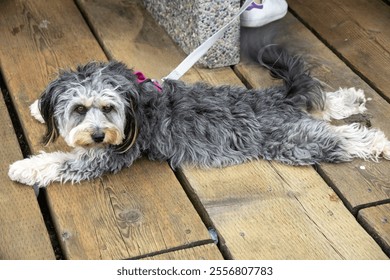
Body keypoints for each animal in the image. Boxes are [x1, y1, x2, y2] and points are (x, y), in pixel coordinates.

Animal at [7, 46, 388, 187]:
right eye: (79, 109)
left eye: (109, 108)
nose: (99, 135)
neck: (136, 104)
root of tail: (278, 99)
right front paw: (38, 109)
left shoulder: (109, 155)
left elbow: (61, 162)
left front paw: (25, 168)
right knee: (322, 102)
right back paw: (351, 97)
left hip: (296, 141)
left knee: (346, 137)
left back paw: (381, 144)